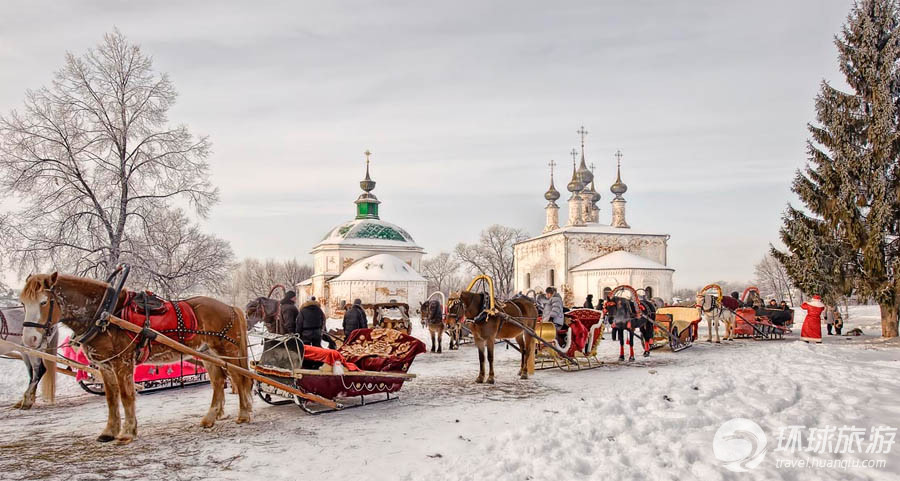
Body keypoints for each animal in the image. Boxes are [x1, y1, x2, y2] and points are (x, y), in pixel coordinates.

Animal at [22, 272, 253, 444]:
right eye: (23, 303)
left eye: (44, 302)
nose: (29, 338)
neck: (104, 314)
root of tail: (231, 307)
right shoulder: (105, 366)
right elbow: (111, 399)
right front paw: (109, 431)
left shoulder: (122, 362)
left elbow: (126, 396)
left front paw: (127, 432)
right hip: (206, 353)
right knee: (218, 381)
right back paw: (210, 418)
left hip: (228, 351)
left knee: (239, 378)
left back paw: (244, 413)